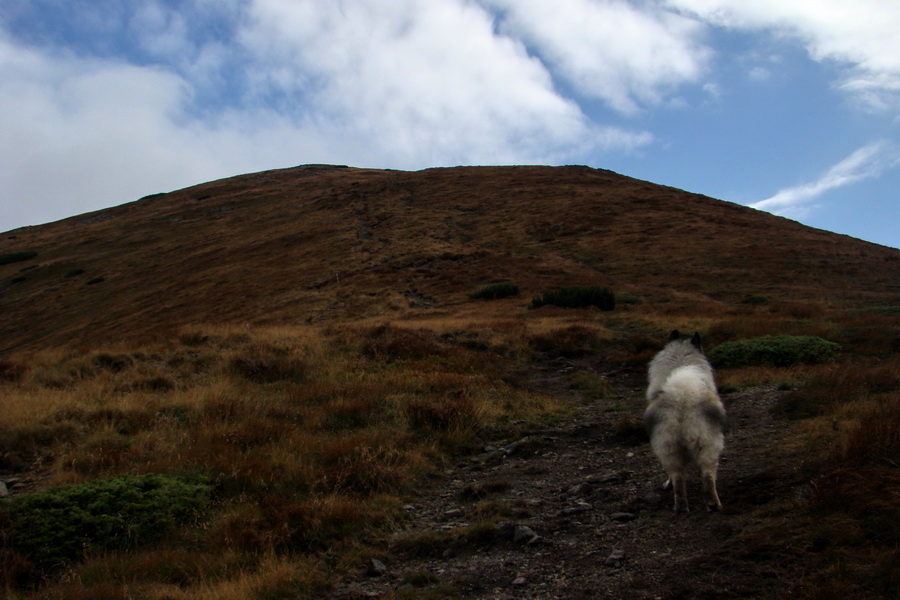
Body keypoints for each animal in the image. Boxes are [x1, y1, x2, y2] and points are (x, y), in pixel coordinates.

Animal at [644, 330, 728, 508]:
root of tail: (683, 397)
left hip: (670, 447)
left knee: (678, 477)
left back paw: (682, 506)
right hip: (707, 444)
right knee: (706, 475)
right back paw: (711, 504)